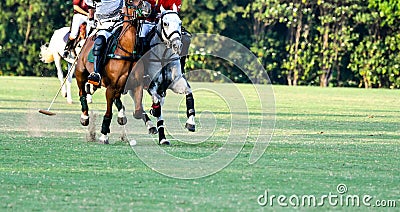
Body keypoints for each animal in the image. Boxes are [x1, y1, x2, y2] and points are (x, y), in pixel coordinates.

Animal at [74, 0, 145, 144]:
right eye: (130, 2)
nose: (147, 8)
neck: (128, 51)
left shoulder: (136, 84)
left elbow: (138, 110)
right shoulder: (111, 87)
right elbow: (108, 112)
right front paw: (104, 135)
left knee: (117, 99)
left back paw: (122, 116)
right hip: (80, 72)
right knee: (82, 92)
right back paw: (85, 117)